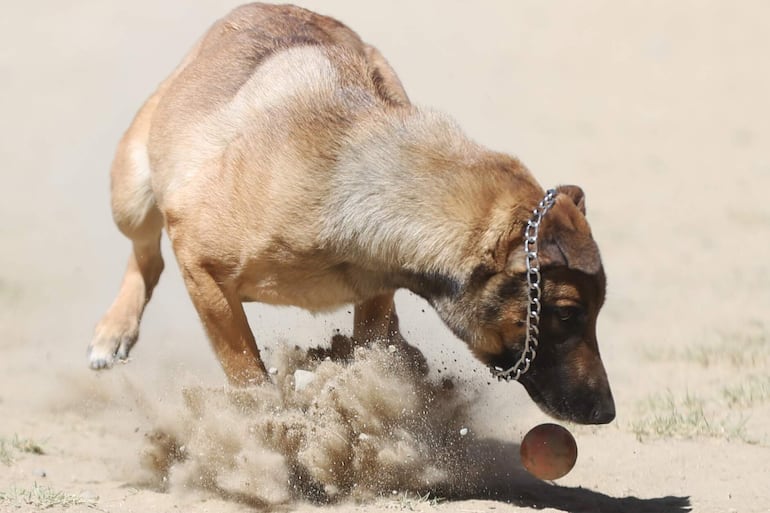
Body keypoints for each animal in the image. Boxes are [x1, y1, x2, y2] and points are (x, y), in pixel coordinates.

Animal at [87, 3, 616, 424]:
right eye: (567, 313)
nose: (607, 413)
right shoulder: (201, 268)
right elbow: (244, 365)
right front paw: (267, 427)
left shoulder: (377, 283)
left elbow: (370, 340)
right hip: (132, 192)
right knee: (146, 256)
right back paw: (114, 329)